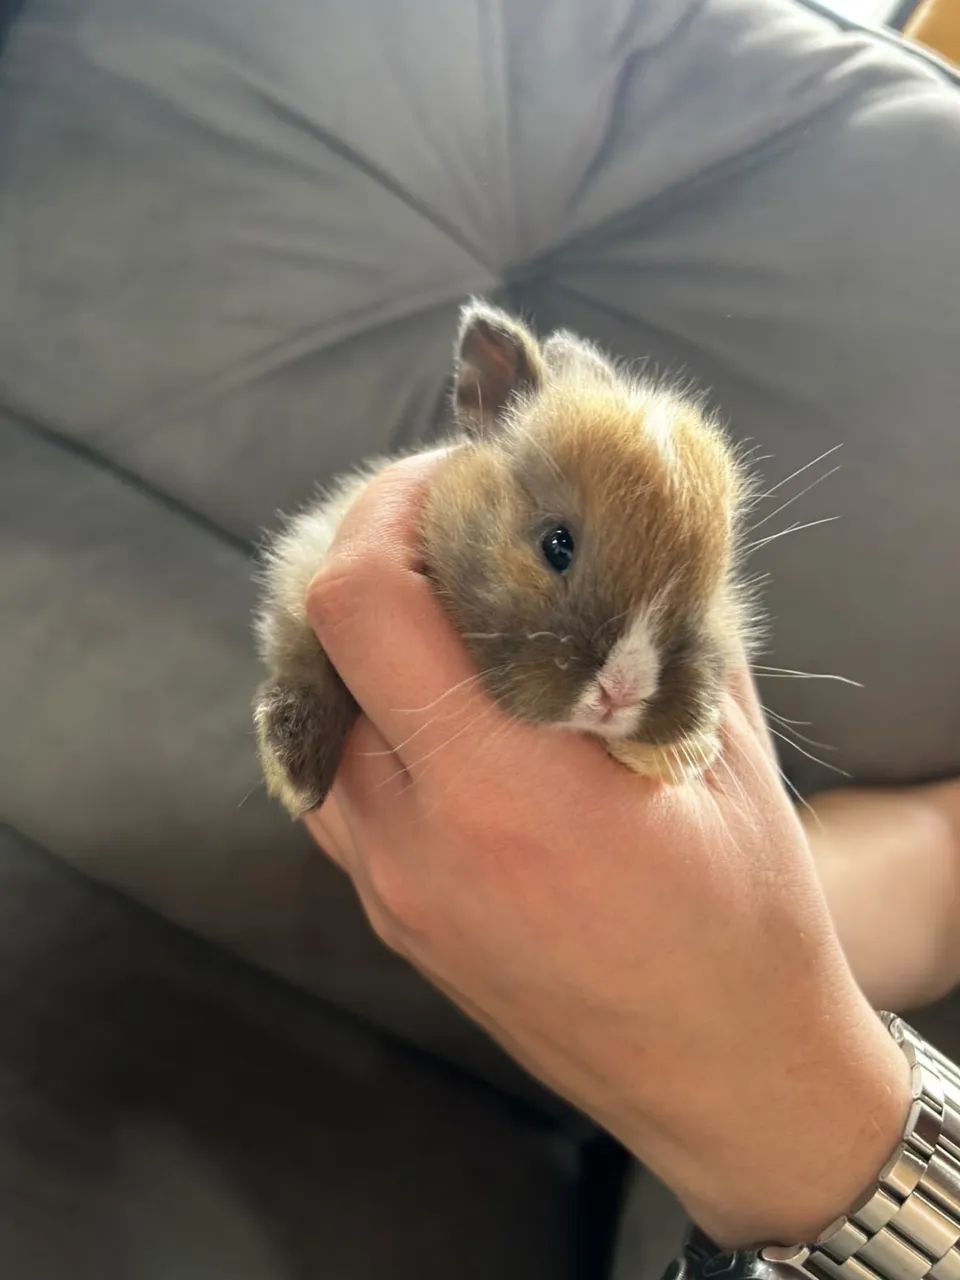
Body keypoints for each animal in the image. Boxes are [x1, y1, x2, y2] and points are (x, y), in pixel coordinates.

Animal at [254, 301, 752, 817]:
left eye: (714, 587)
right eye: (557, 545)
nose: (622, 690)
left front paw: (680, 752)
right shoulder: (308, 560)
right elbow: (301, 653)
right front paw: (295, 776)